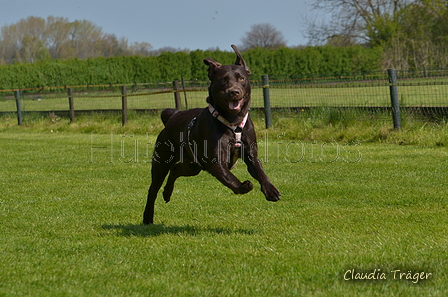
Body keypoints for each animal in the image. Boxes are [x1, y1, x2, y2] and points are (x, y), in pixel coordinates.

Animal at [143, 45, 280, 223]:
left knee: (176, 170)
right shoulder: (216, 161)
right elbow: (229, 177)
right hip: (162, 161)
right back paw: (148, 216)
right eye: (223, 80)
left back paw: (167, 193)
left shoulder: (250, 153)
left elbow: (260, 170)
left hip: (192, 165)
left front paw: (271, 190)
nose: (234, 91)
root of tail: (173, 116)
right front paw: (242, 186)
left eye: (241, 78)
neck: (233, 123)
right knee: (153, 188)